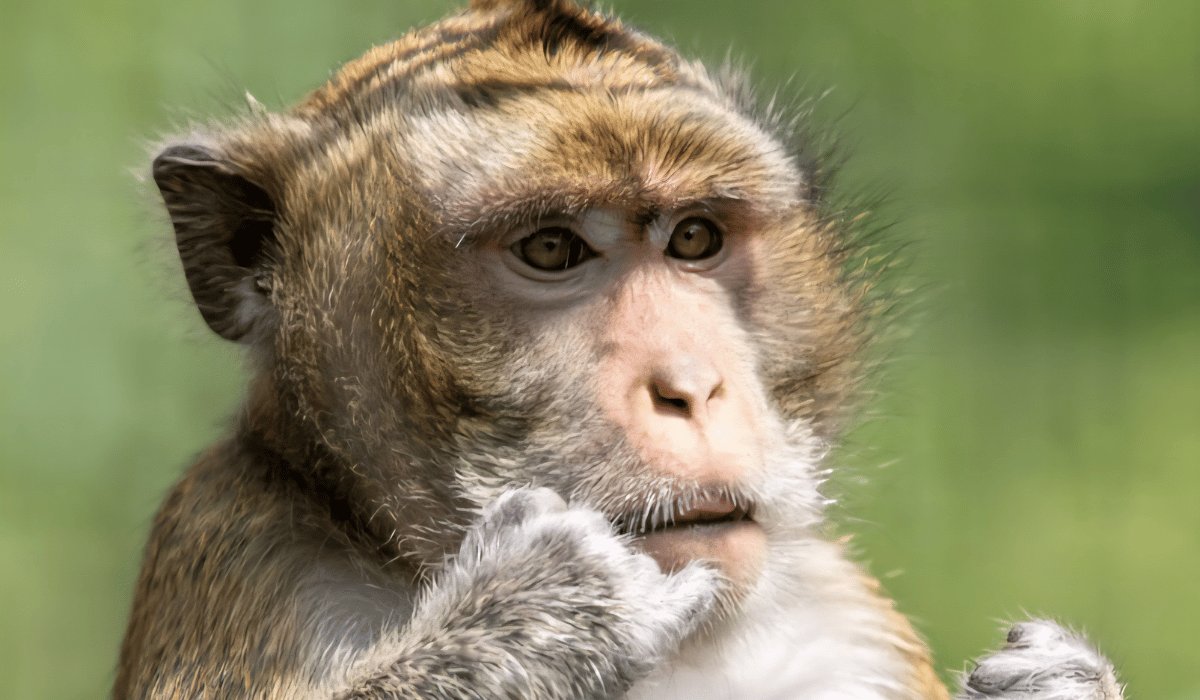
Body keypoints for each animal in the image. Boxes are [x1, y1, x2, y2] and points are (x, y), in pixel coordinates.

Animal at [116, 1, 1124, 698]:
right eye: (552, 249)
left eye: (694, 238)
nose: (691, 385)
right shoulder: (247, 550)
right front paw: (539, 617)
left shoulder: (845, 626)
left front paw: (1064, 684)